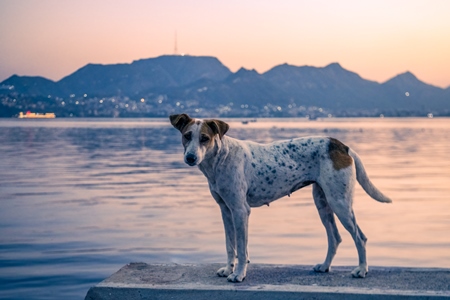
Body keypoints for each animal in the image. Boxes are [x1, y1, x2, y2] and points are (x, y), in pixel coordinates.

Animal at [169, 113, 390, 282]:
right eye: (187, 136)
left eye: (204, 138)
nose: (190, 158)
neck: (220, 159)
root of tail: (341, 145)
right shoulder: (226, 210)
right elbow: (230, 245)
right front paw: (228, 269)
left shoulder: (240, 211)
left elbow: (241, 248)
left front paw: (239, 274)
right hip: (323, 203)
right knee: (334, 238)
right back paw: (325, 266)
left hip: (340, 203)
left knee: (360, 237)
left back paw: (362, 270)